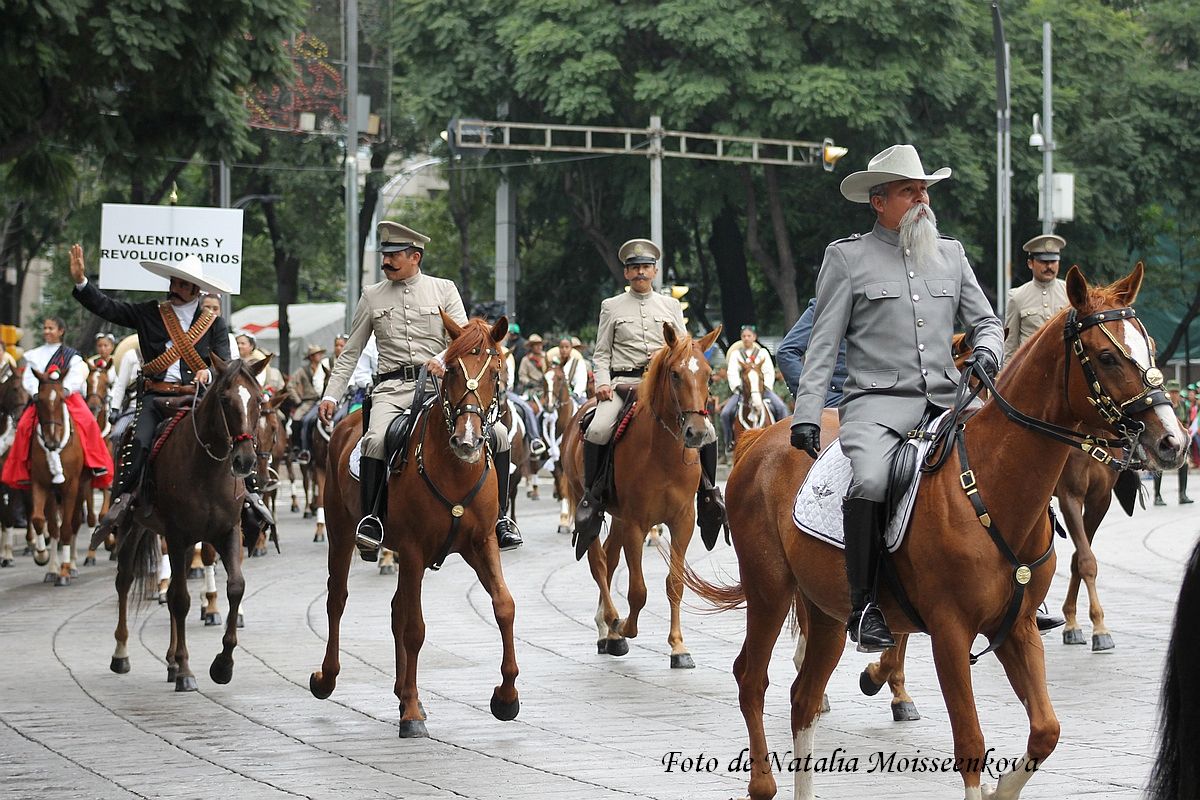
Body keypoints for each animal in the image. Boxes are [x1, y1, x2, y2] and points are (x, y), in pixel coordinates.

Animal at [107, 352, 270, 690]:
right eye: (225, 399)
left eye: (259, 400)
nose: (245, 460)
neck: (207, 468)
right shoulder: (177, 534)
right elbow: (180, 600)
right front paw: (185, 670)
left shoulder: (227, 532)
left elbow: (235, 587)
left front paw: (222, 665)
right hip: (133, 525)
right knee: (125, 579)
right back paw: (122, 653)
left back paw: (169, 661)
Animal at [307, 311, 518, 738]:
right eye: (451, 370)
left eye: (496, 372)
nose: (468, 441)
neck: (454, 468)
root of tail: (346, 424)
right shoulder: (414, 550)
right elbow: (415, 629)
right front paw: (413, 714)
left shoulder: (480, 544)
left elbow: (504, 606)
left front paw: (506, 698)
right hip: (341, 531)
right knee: (338, 599)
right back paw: (329, 678)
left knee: (395, 608)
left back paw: (402, 691)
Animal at [556, 326, 715, 671]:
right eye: (675, 374)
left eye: (709, 374)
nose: (697, 433)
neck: (663, 452)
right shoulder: (636, 524)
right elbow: (638, 590)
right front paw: (624, 627)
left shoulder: (683, 521)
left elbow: (675, 583)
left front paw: (678, 647)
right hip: (591, 506)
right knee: (599, 562)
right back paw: (612, 624)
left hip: (618, 516)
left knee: (609, 557)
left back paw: (607, 631)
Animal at [681, 267, 1185, 800]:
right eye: (1107, 356)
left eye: (1151, 348)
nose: (1172, 441)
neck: (991, 483)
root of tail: (761, 439)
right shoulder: (950, 631)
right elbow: (970, 739)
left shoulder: (1017, 627)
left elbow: (1046, 730)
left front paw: (1001, 789)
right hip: (770, 588)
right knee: (751, 678)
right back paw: (763, 782)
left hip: (827, 612)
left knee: (803, 696)